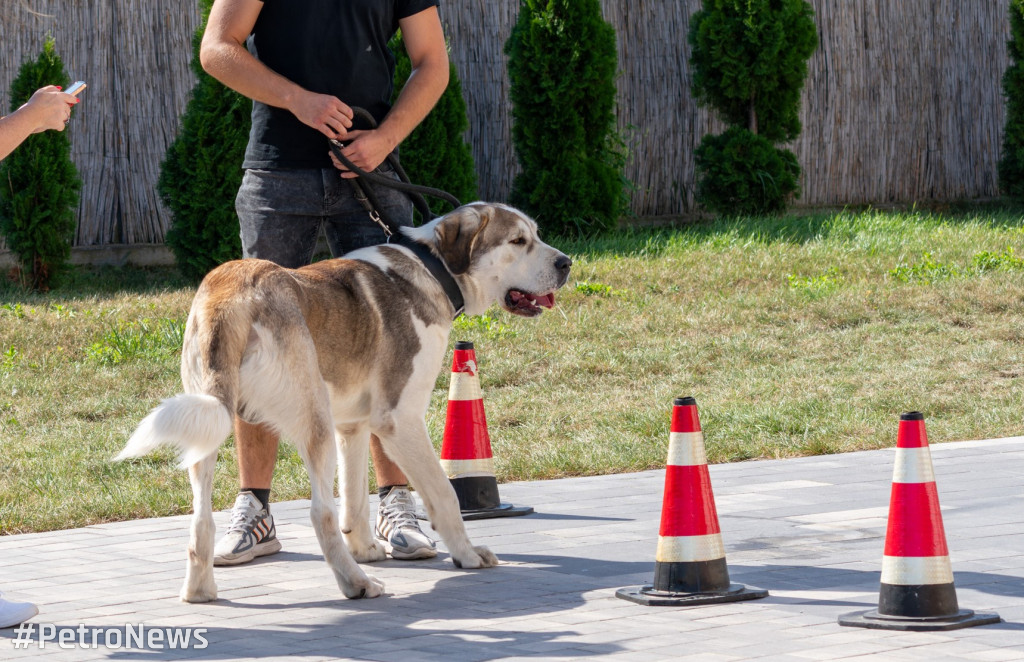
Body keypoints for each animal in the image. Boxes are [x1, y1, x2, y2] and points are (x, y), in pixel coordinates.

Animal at [117, 204, 577, 602]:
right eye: (518, 241)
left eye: (535, 235)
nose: (566, 263)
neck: (431, 269)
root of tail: (233, 292)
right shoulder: (399, 419)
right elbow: (443, 494)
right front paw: (466, 555)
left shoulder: (353, 425)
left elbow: (355, 498)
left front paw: (366, 549)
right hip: (313, 419)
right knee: (319, 512)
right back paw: (356, 584)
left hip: (211, 424)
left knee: (201, 519)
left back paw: (200, 592)